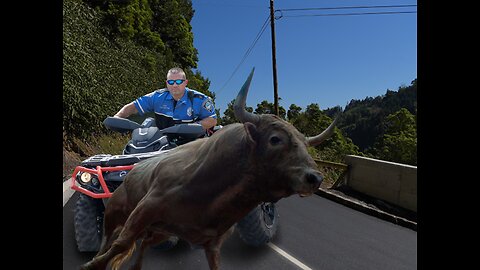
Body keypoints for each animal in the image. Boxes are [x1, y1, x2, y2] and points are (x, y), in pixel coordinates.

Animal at [80, 68, 338, 268]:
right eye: (275, 139)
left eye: (306, 145)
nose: (315, 178)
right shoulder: (145, 209)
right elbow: (117, 246)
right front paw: (90, 265)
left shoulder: (212, 243)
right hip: (116, 213)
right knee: (109, 242)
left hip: (158, 231)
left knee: (142, 244)